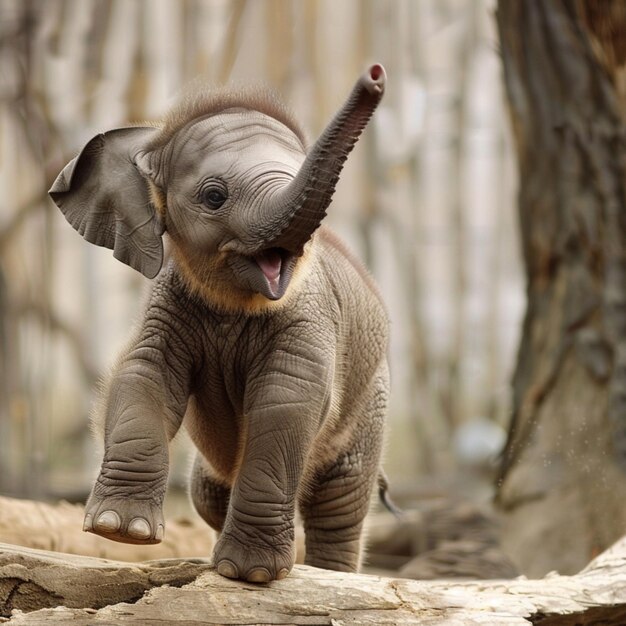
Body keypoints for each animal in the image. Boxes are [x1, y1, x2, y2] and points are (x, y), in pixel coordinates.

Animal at [51, 64, 388, 580]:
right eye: (214, 197)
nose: (375, 75)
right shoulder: (167, 303)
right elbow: (146, 374)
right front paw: (120, 530)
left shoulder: (310, 319)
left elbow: (286, 402)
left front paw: (251, 575)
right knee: (208, 491)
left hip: (371, 404)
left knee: (340, 502)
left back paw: (328, 577)